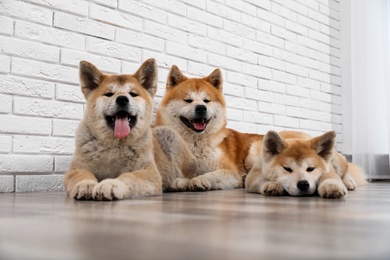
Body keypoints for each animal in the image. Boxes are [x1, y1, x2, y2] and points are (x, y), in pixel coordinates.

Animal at [65, 59, 197, 201]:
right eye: (109, 94)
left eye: (133, 94)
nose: (122, 99)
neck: (114, 144)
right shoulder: (77, 168)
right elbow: (80, 175)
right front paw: (86, 184)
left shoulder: (149, 173)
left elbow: (128, 177)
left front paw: (111, 184)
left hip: (169, 135)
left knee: (189, 177)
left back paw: (178, 183)